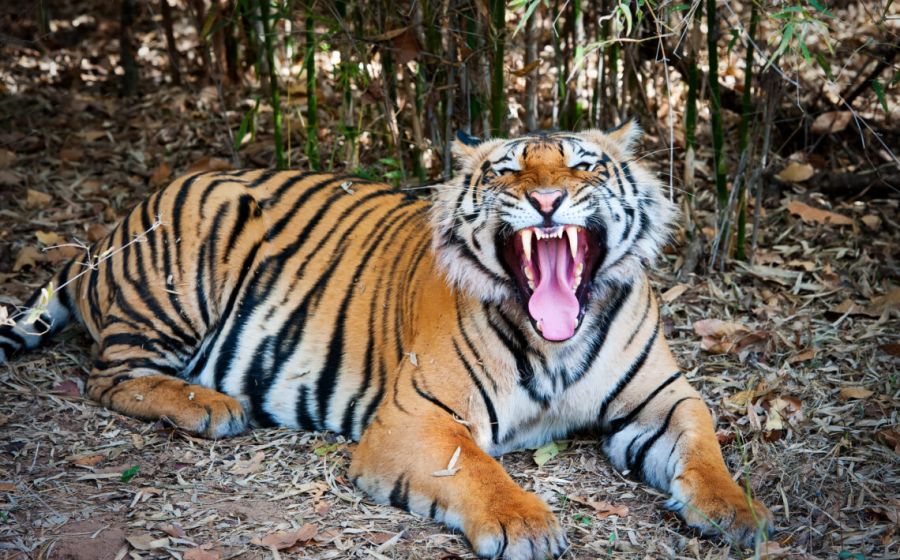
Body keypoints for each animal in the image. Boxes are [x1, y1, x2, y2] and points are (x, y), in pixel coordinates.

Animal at [1, 123, 772, 558]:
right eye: (508, 171)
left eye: (584, 166)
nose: (547, 200)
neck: (557, 338)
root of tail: (120, 218)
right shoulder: (418, 415)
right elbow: (480, 470)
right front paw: (527, 525)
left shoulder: (664, 398)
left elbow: (705, 449)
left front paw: (739, 514)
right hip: (185, 268)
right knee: (109, 374)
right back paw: (210, 405)